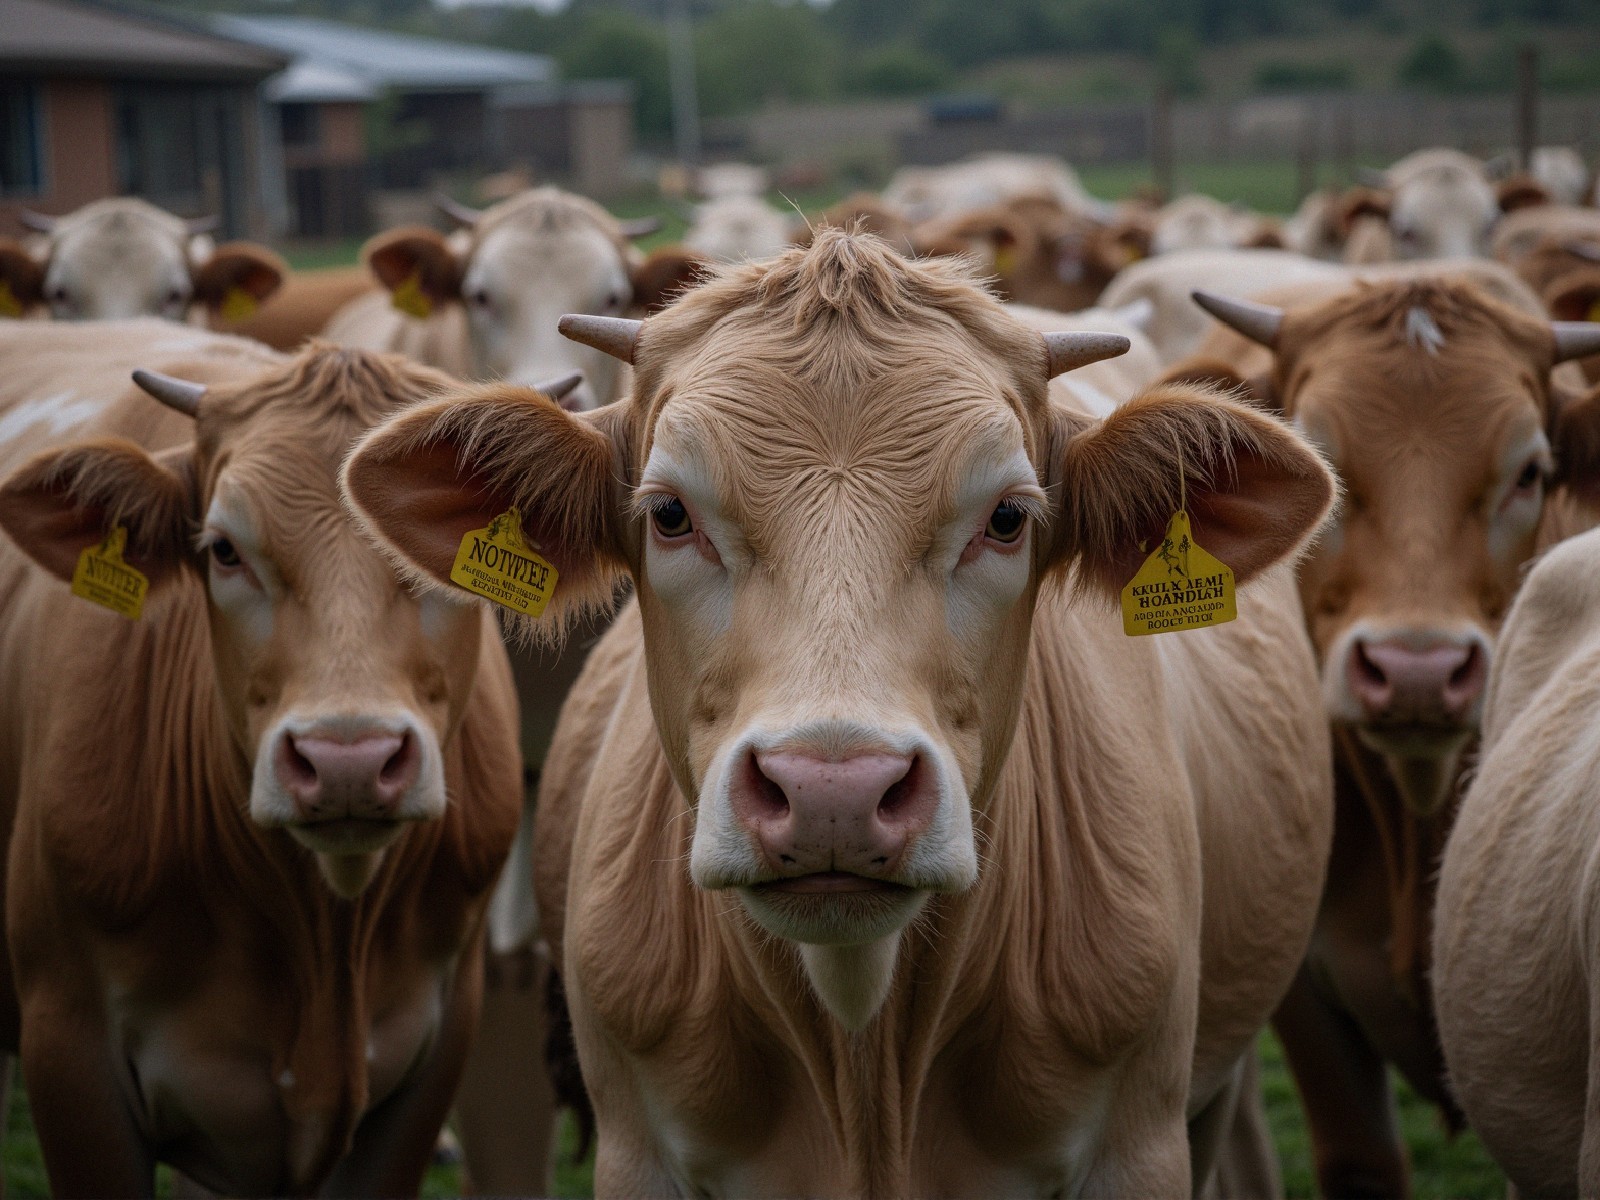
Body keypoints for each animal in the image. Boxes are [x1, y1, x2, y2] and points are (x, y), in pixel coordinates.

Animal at [341, 229, 1339, 1194]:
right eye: (669, 514)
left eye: (1008, 519)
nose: (834, 793)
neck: (867, 1068)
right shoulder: (637, 1148)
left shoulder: (1140, 1141)